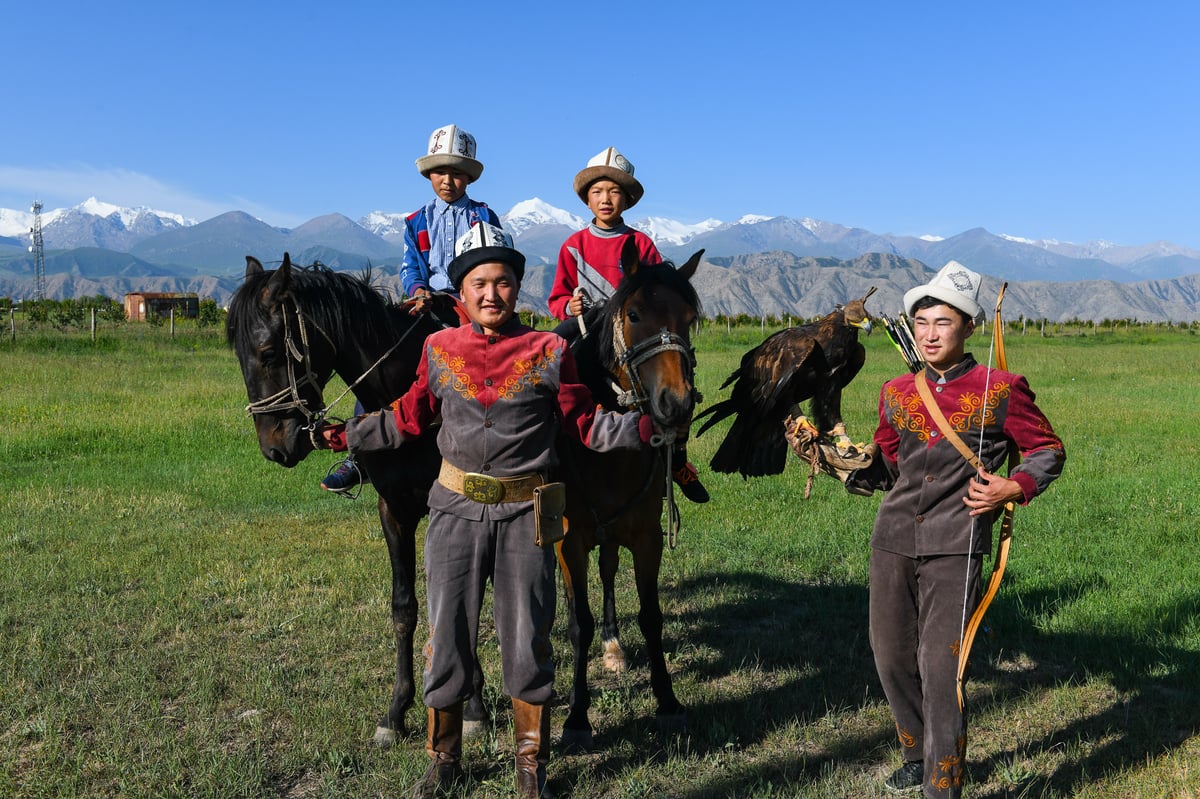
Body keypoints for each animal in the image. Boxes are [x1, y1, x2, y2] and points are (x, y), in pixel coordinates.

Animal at [225, 251, 487, 743]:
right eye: (238, 356)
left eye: (269, 353)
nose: (275, 448)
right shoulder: (394, 510)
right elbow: (405, 607)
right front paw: (396, 711)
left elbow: (467, 599)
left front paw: (475, 706)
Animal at [554, 242, 700, 748]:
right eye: (634, 314)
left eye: (689, 318)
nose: (676, 404)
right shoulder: (568, 539)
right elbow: (579, 623)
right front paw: (577, 717)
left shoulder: (646, 534)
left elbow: (651, 615)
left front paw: (668, 700)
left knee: (609, 570)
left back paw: (614, 644)